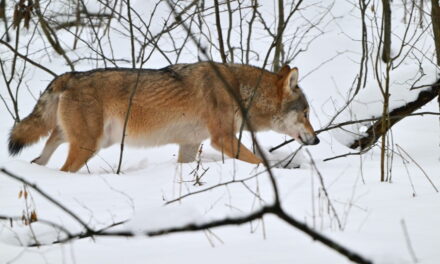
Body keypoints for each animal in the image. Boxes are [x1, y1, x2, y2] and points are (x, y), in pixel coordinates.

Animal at [6, 62, 318, 172]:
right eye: (306, 114)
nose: (316, 141)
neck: (241, 90)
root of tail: (69, 75)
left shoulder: (190, 144)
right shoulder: (223, 139)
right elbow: (258, 162)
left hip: (82, 141)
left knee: (41, 159)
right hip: (88, 146)